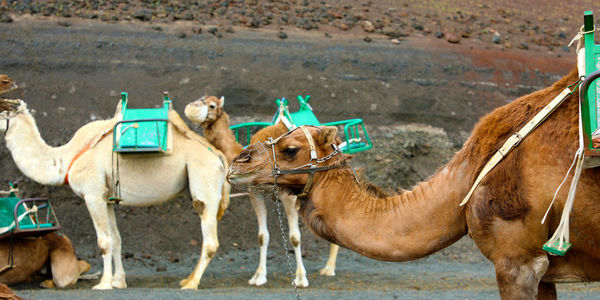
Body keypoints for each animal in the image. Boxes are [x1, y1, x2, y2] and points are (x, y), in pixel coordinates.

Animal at [0, 89, 229, 290]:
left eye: (2, 111)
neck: (65, 158)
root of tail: (218, 156)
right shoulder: (106, 197)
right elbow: (116, 239)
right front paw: (119, 282)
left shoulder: (92, 194)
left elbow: (104, 241)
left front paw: (103, 284)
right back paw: (187, 279)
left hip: (204, 182)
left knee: (210, 240)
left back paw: (192, 284)